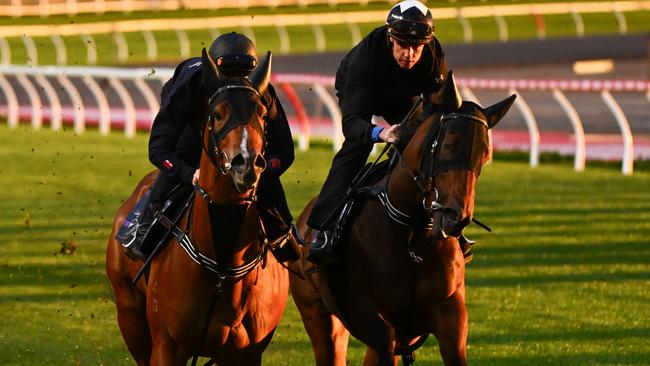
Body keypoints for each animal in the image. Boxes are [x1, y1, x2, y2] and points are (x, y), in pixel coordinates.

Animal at [104, 49, 286, 366]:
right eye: (217, 114)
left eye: (263, 115)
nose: (246, 162)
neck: (224, 269)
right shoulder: (165, 345)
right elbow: (160, 144)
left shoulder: (247, 353)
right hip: (129, 314)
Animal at [288, 72, 512, 366]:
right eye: (448, 145)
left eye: (485, 154)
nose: (457, 217)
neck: (411, 236)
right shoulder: (371, 318)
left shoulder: (451, 318)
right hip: (318, 315)